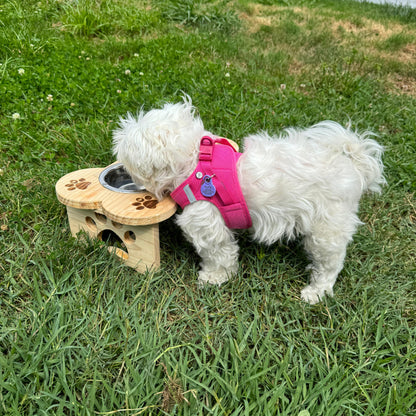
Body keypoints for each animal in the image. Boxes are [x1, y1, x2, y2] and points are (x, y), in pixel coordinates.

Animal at [112, 99, 386, 304]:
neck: (195, 165)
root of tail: (354, 165)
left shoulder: (207, 223)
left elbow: (219, 254)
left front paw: (213, 277)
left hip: (326, 229)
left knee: (331, 263)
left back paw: (316, 291)